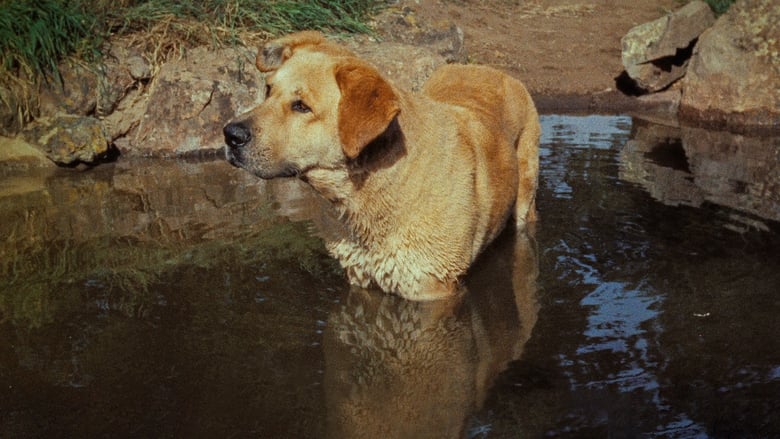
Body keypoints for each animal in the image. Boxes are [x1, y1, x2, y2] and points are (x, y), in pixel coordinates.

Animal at [224, 30, 544, 300]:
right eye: (268, 91)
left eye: (301, 106)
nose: (230, 134)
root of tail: (490, 69)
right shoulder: (360, 275)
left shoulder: (430, 286)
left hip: (524, 197)